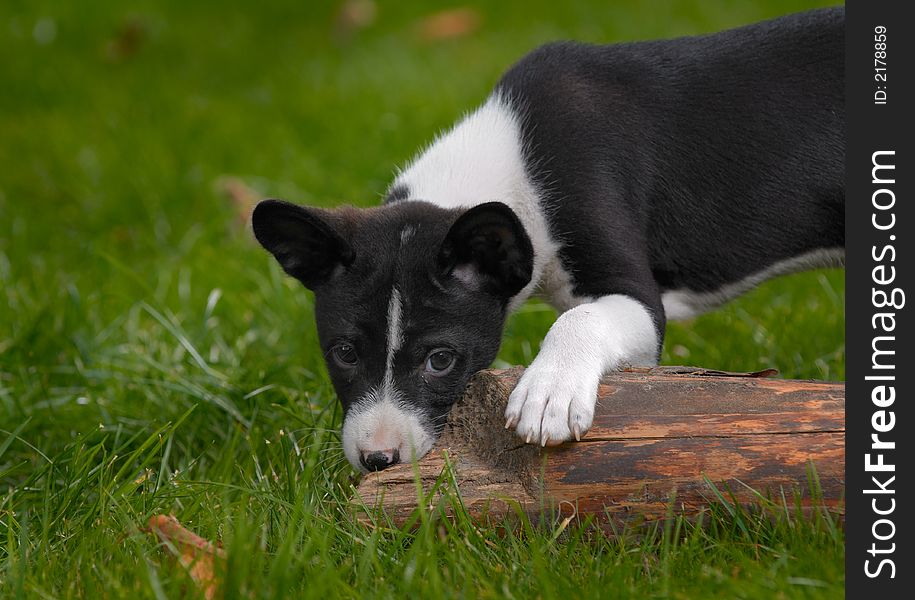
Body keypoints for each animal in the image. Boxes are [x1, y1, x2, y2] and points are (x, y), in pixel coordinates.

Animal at [250, 7, 844, 472]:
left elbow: (579, 317)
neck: (512, 164)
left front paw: (548, 390)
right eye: (344, 353)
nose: (379, 460)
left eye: (440, 360)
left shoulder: (638, 299)